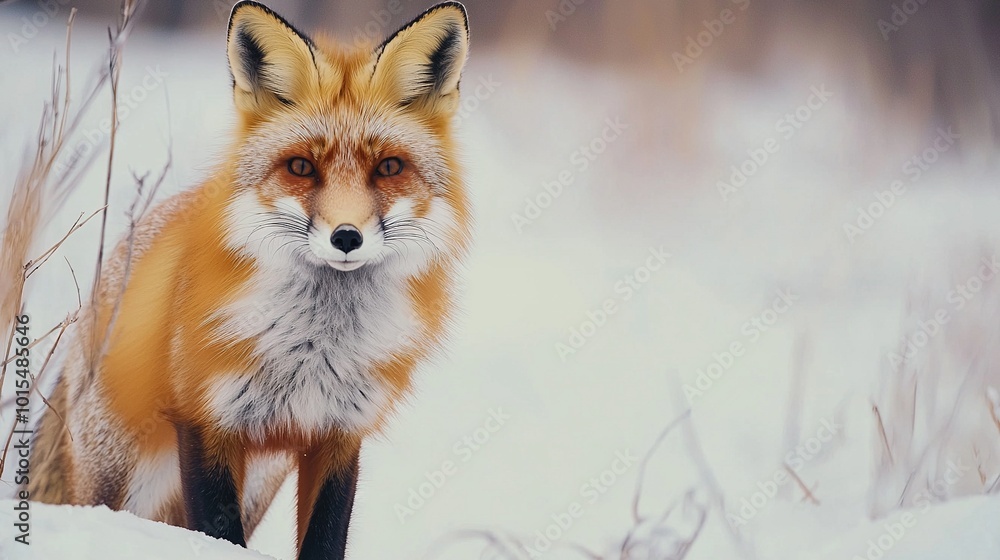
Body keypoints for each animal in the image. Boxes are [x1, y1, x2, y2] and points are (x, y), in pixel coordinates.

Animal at [25, 1, 471, 558]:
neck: (315, 346)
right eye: (300, 167)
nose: (347, 237)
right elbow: (219, 532)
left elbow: (325, 537)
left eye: (389, 167)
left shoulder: (339, 433)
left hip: (258, 481)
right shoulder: (206, 421)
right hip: (122, 480)